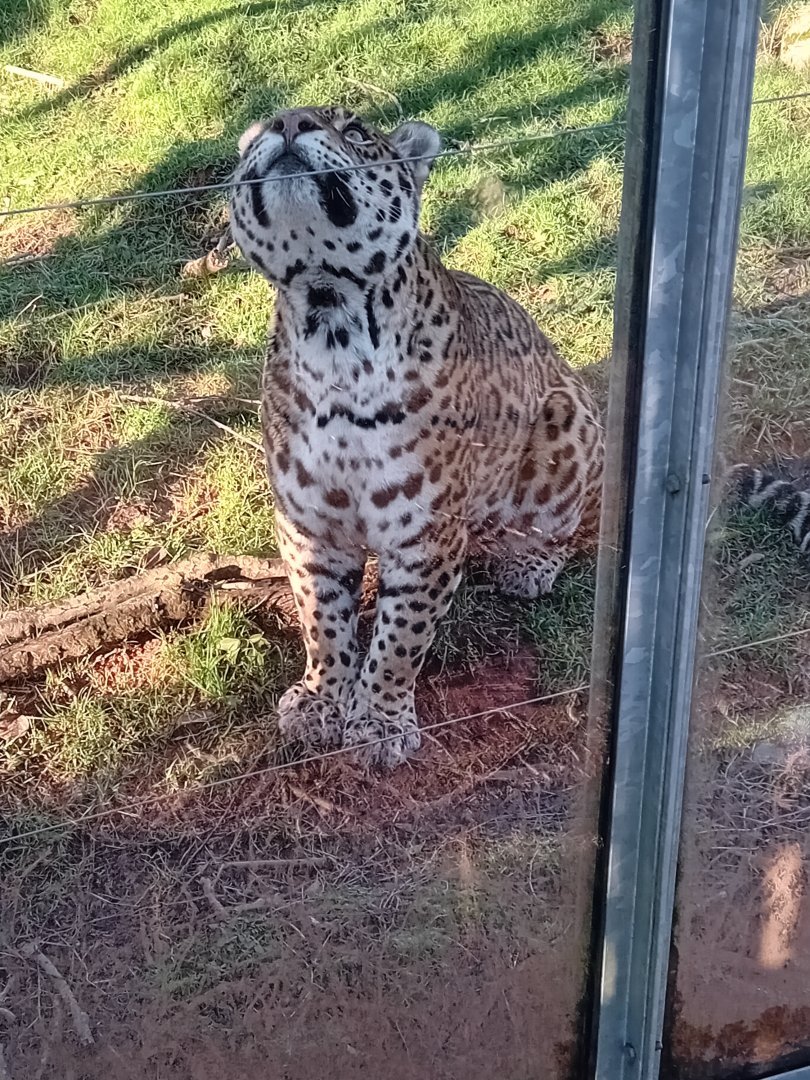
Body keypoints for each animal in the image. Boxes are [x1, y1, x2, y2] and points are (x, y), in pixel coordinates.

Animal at [228, 105, 604, 768]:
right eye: (254, 138)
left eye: (355, 130)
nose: (288, 122)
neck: (333, 330)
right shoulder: (308, 527)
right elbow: (323, 622)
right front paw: (323, 701)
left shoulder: (424, 533)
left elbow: (400, 637)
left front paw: (378, 721)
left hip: (569, 419)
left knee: (562, 526)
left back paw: (528, 566)